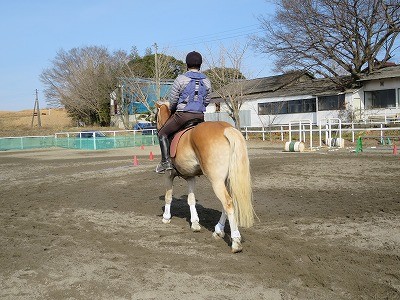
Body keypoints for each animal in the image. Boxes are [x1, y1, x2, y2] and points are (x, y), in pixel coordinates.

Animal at [155, 103, 255, 253]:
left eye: (156, 117)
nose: (157, 129)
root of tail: (226, 129)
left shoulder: (169, 175)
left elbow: (168, 196)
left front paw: (166, 218)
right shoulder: (191, 177)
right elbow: (191, 200)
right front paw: (195, 223)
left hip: (216, 181)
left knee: (227, 203)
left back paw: (235, 241)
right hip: (226, 180)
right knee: (227, 203)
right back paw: (218, 231)